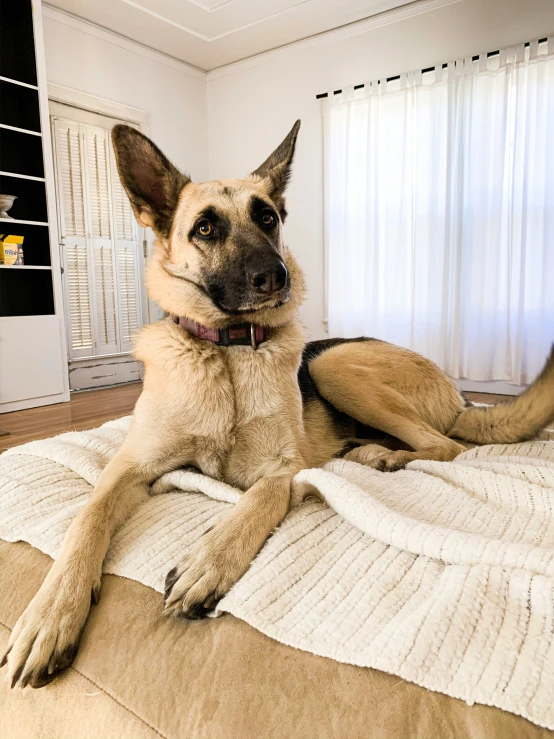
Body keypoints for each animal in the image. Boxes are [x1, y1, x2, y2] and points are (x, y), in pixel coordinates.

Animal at [4, 118, 552, 692]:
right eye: (205, 229)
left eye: (267, 217)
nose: (276, 276)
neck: (225, 353)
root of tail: (461, 396)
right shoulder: (129, 468)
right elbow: (86, 521)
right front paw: (49, 615)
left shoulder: (284, 469)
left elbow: (258, 501)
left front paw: (209, 560)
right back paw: (371, 452)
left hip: (333, 364)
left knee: (444, 444)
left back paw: (383, 456)